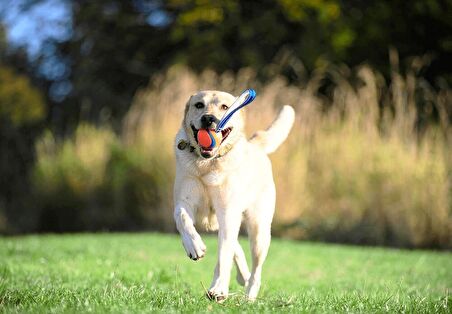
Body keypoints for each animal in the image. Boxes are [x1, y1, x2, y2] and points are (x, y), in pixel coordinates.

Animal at [172, 91, 294, 302]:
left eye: (224, 107)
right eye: (199, 105)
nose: (208, 119)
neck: (208, 163)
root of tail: (254, 145)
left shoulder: (228, 212)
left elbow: (223, 256)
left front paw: (219, 290)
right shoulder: (184, 201)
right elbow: (182, 218)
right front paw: (194, 246)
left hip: (259, 231)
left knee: (255, 270)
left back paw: (249, 296)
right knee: (235, 245)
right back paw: (242, 275)